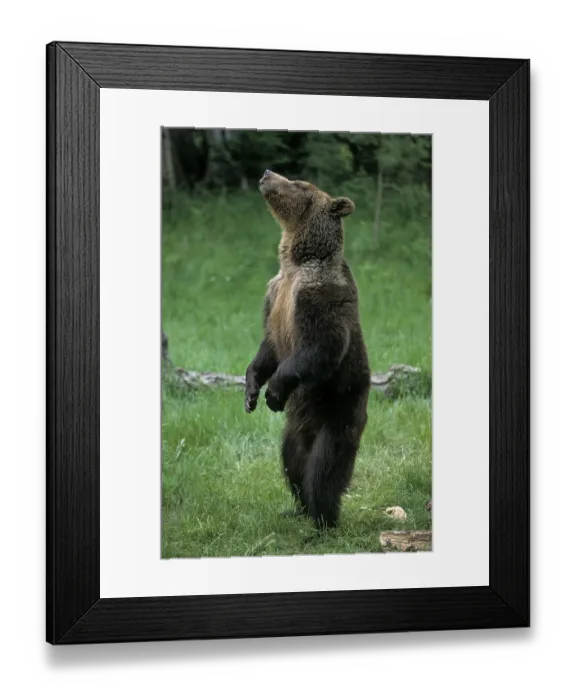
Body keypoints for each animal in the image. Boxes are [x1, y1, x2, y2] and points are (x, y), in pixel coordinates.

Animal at [245, 170, 371, 530]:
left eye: (299, 183)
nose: (267, 173)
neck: (297, 261)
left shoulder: (319, 296)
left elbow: (322, 346)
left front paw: (274, 391)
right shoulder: (276, 296)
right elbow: (269, 348)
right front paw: (251, 390)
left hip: (339, 414)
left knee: (323, 471)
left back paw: (322, 521)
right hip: (294, 430)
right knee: (292, 463)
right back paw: (296, 509)